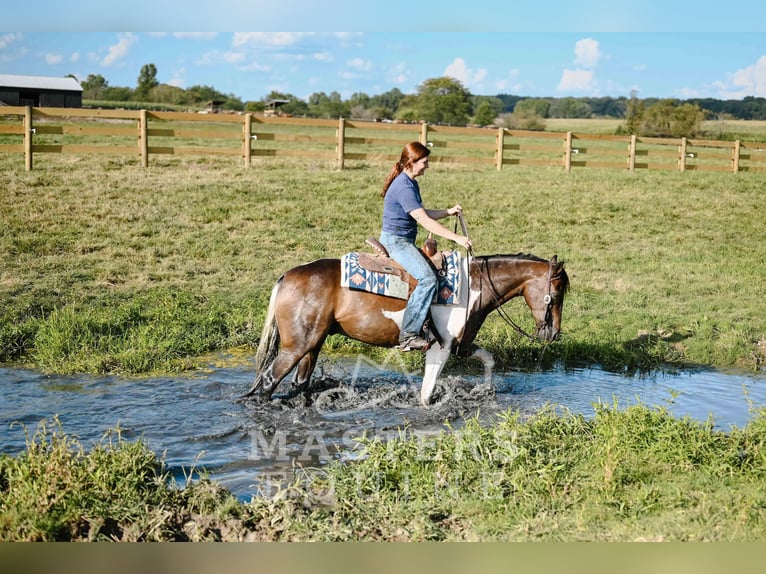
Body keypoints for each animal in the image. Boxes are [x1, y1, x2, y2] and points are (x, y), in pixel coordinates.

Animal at [245, 250, 569, 406]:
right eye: (556, 294)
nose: (552, 334)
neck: (472, 284)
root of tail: (287, 276)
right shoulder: (441, 347)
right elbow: (426, 394)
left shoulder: (462, 346)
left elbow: (488, 360)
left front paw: (485, 391)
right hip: (296, 347)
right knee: (268, 382)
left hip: (313, 345)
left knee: (299, 384)